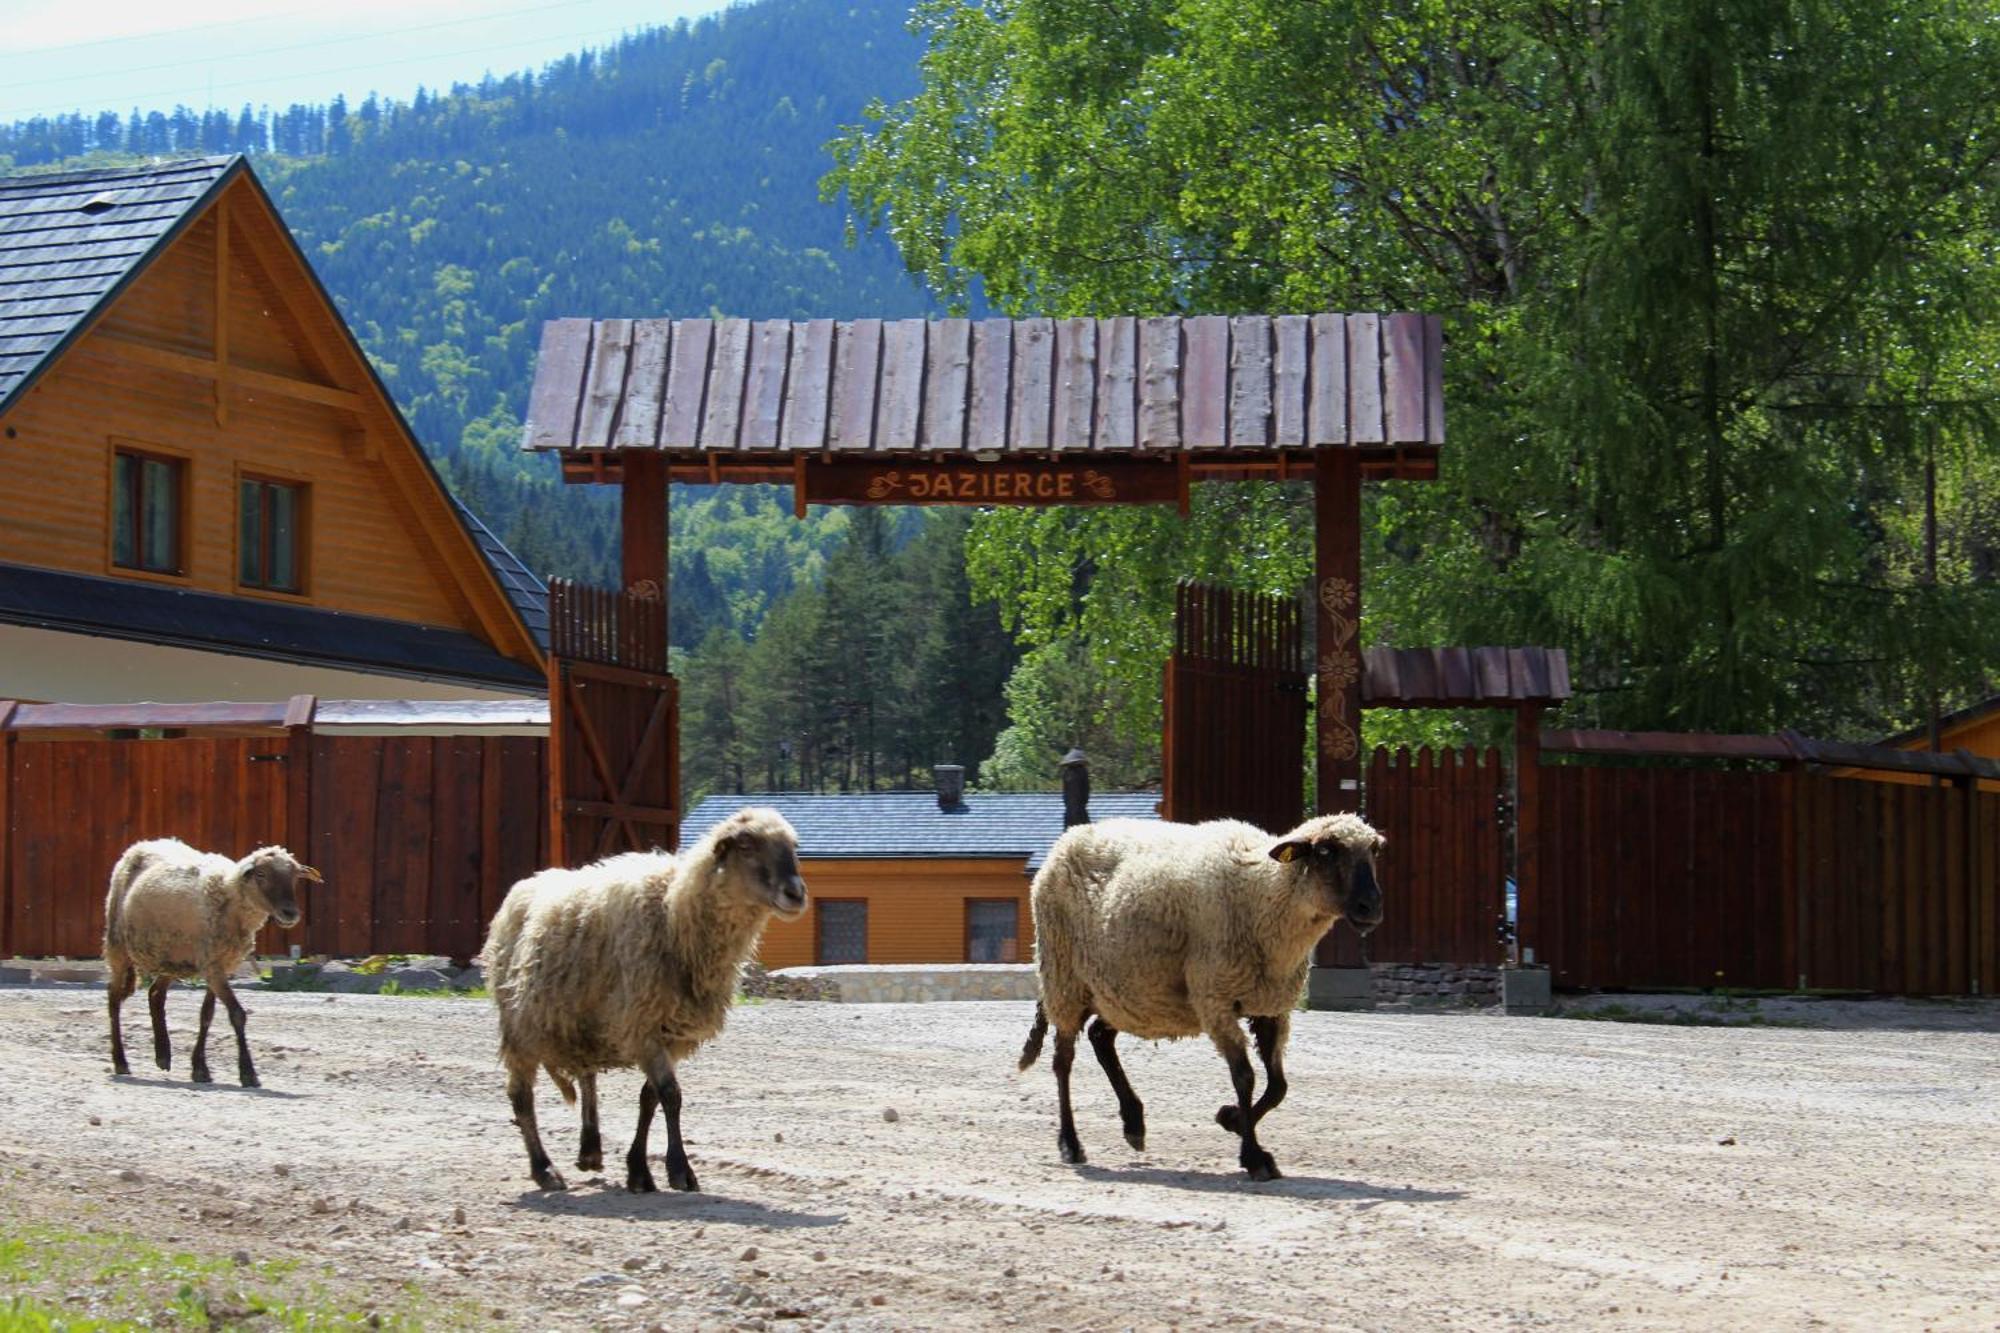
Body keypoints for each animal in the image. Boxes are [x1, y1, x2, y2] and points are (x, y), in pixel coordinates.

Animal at [105, 836, 322, 1088]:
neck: (231, 895)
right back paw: (121, 1061)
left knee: (156, 994)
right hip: (118, 945)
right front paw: (248, 1073)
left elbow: (206, 1015)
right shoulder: (213, 967)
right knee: (114, 998)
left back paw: (163, 1054)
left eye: (295, 876)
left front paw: (200, 1069)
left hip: (172, 956)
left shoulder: (220, 965)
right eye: (261, 874)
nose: (290, 913)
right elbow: (237, 1014)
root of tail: (142, 844)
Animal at [482, 804, 804, 1184]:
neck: (674, 914)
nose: (797, 893)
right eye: (745, 845)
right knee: (521, 1095)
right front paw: (679, 1170)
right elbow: (671, 1095)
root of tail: (524, 884)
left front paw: (638, 1169)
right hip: (520, 1024)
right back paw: (543, 1167)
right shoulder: (643, 1024)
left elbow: (649, 1097)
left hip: (580, 1019)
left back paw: (590, 1148)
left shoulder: (670, 1033)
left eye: (793, 847)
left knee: (587, 1075)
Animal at [1024, 808, 1384, 1176]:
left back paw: (1133, 1123)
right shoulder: (1216, 1000)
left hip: (1127, 992)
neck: (1264, 893)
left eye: (1375, 850)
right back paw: (1071, 1144)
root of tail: (1065, 839)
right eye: (1326, 851)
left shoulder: (1269, 1007)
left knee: (1100, 1037)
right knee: (1063, 1061)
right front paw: (1253, 1157)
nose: (1371, 907)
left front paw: (1232, 1120)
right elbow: (1245, 1077)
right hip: (1064, 978)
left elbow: (1278, 1086)